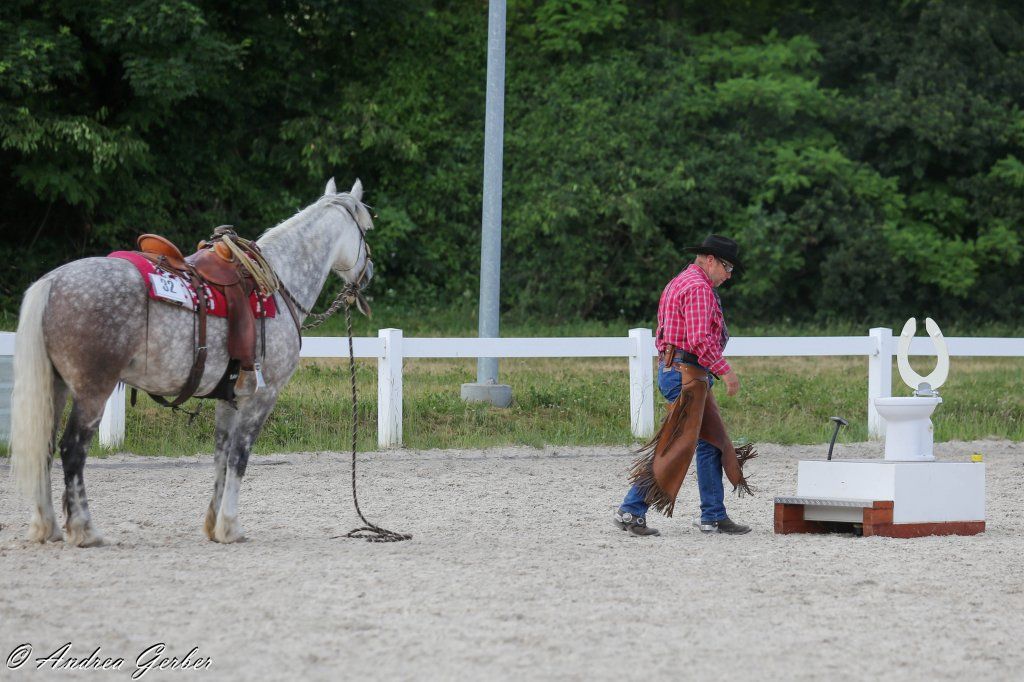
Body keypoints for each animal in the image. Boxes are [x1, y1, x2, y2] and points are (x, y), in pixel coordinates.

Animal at [10, 178, 373, 546]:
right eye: (366, 229)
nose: (368, 274)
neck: (276, 286)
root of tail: (52, 282)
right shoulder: (262, 396)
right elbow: (240, 457)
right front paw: (231, 527)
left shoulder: (230, 398)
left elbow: (221, 457)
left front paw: (213, 526)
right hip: (92, 391)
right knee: (72, 450)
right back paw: (85, 530)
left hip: (55, 389)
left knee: (44, 448)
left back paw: (48, 527)